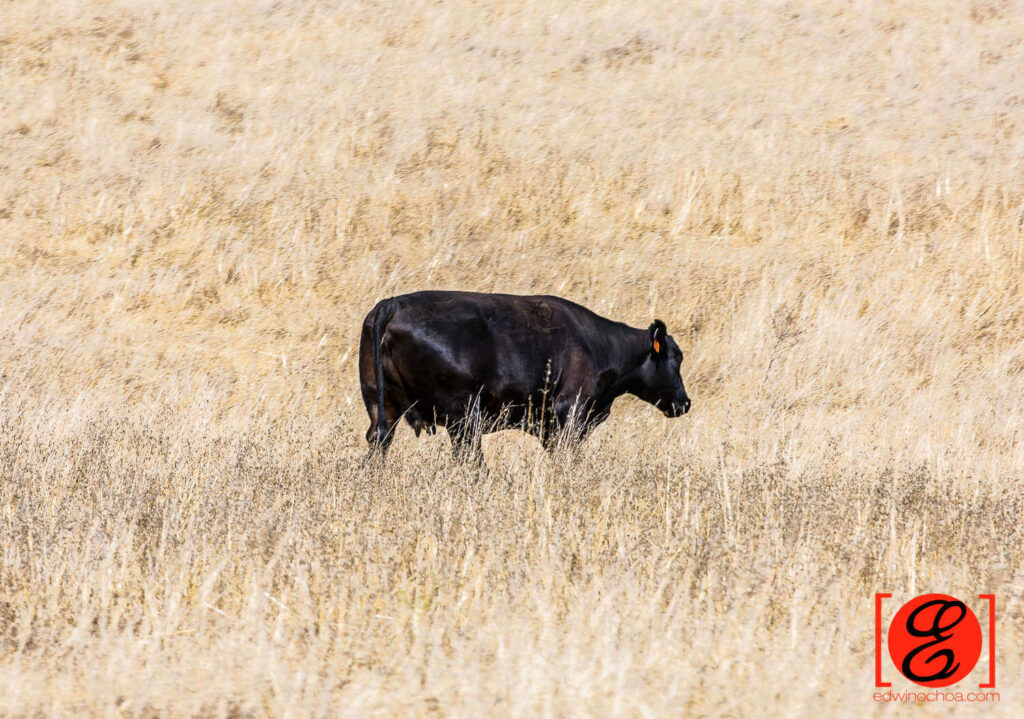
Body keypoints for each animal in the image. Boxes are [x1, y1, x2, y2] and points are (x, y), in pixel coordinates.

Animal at [358, 290, 688, 464]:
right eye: (677, 358)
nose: (684, 403)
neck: (598, 345)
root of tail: (391, 305)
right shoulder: (570, 415)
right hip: (463, 418)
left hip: (380, 406)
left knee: (378, 443)